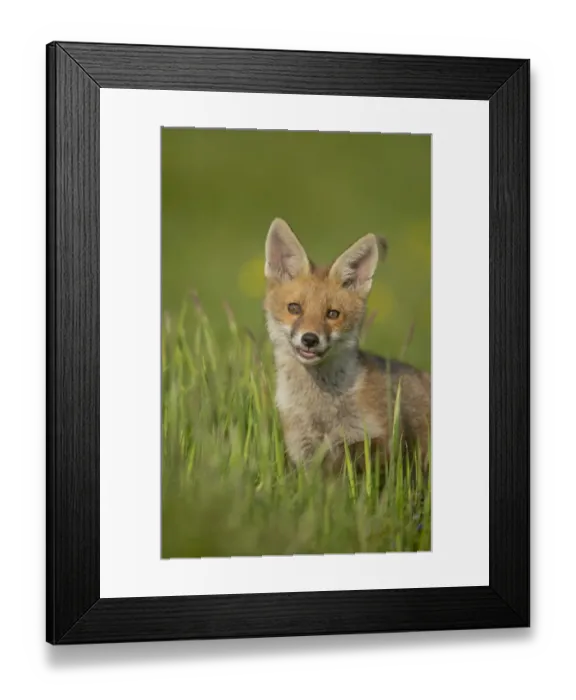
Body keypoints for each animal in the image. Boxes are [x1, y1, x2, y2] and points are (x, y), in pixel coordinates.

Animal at [263, 217, 431, 476]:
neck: (321, 412)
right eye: (294, 308)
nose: (310, 339)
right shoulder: (304, 453)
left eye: (333, 314)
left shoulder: (377, 442)